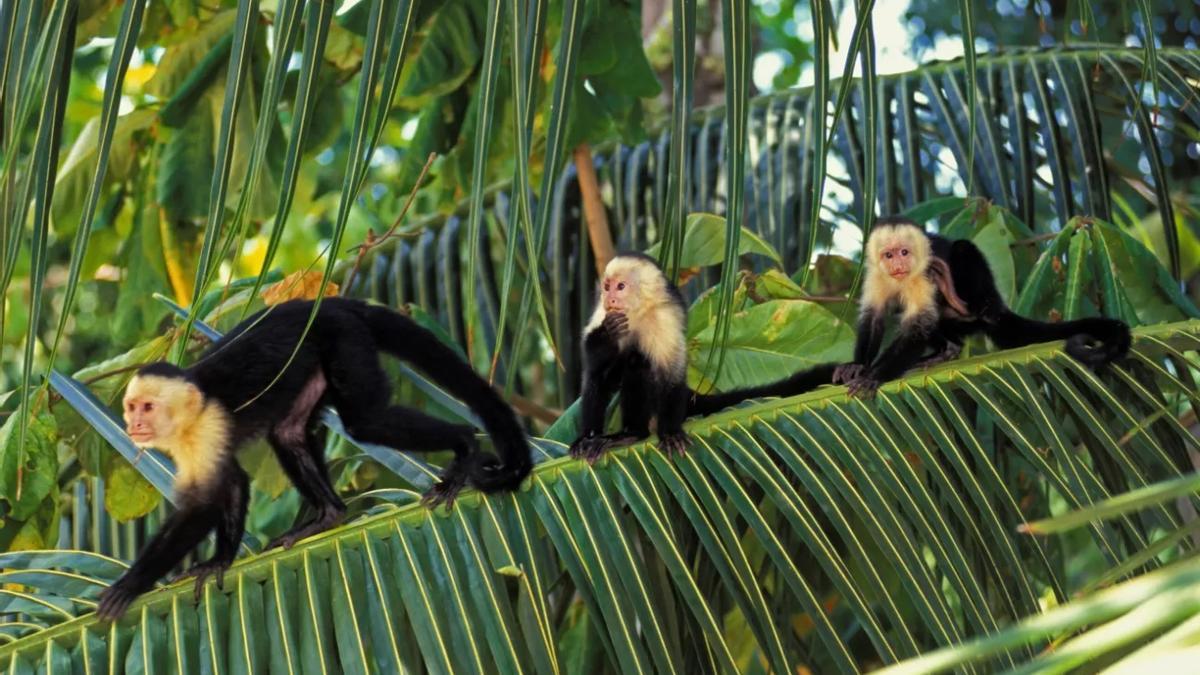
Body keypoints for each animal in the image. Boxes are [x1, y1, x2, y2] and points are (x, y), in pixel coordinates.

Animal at [100, 296, 532, 619]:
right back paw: (328, 515)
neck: (191, 410)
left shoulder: (206, 427)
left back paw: (465, 447)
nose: (133, 423)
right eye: (132, 406)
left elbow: (206, 502)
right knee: (287, 433)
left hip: (345, 340)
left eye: (148, 407)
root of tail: (330, 303)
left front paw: (131, 584)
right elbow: (233, 481)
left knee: (365, 422)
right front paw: (219, 560)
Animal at [568, 252, 835, 461]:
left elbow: (671, 375)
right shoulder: (603, 312)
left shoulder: (664, 319)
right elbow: (593, 362)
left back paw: (633, 433)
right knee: (604, 373)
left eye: (621, 287)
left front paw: (670, 433)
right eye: (607, 287)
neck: (638, 313)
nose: (610, 298)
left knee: (638, 364)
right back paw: (598, 437)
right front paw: (608, 334)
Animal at [835, 213, 1132, 393]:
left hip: (983, 297)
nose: (898, 264)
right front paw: (857, 366)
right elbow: (873, 318)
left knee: (963, 249)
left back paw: (960, 301)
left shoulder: (922, 273)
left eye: (904, 252)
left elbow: (918, 326)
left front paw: (875, 376)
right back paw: (947, 350)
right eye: (889, 254)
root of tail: (999, 308)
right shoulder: (875, 275)